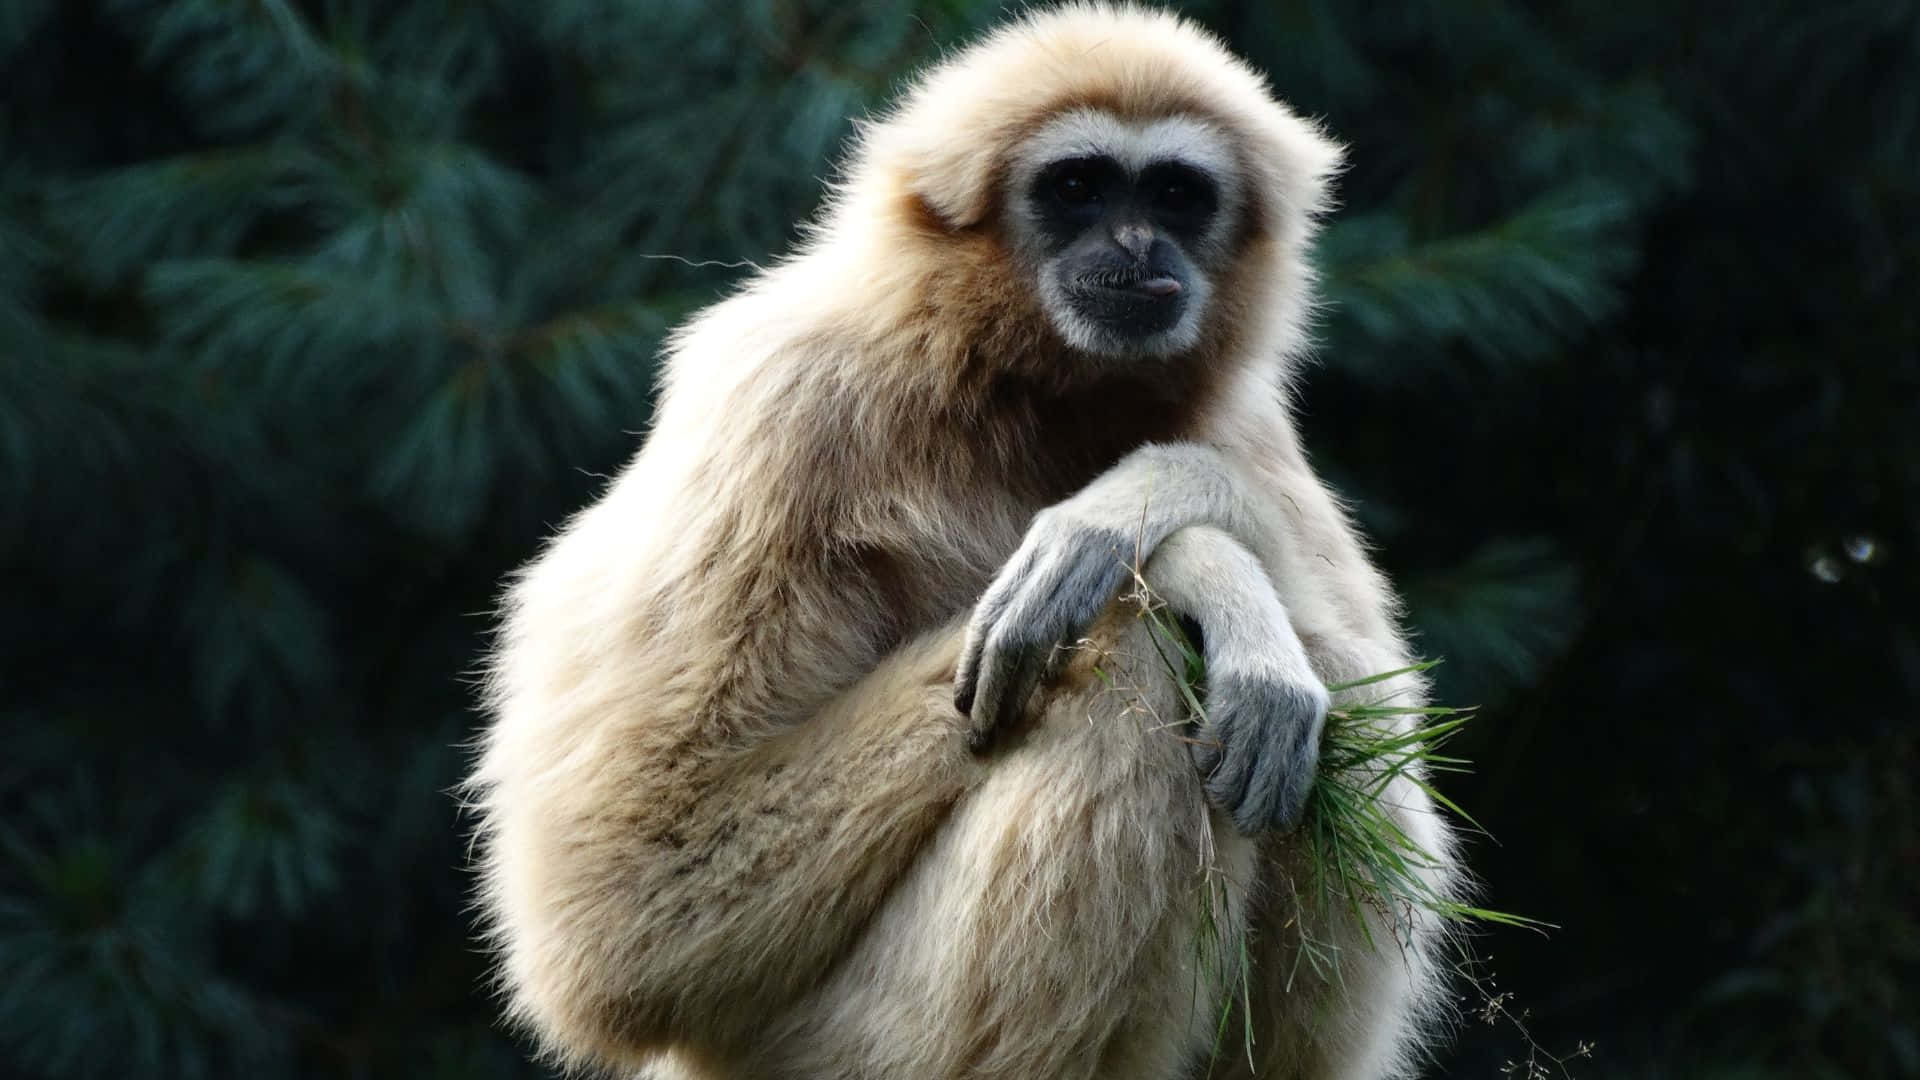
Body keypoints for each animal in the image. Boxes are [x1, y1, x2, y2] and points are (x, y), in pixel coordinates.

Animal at [465, 5, 1461, 1079]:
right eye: (1076, 187)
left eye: (1176, 193)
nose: (1139, 241)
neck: (1013, 393)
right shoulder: (782, 397)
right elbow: (628, 902)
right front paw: (1182, 551)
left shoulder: (1251, 423)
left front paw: (1156, 501)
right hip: (840, 1048)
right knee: (1131, 650)